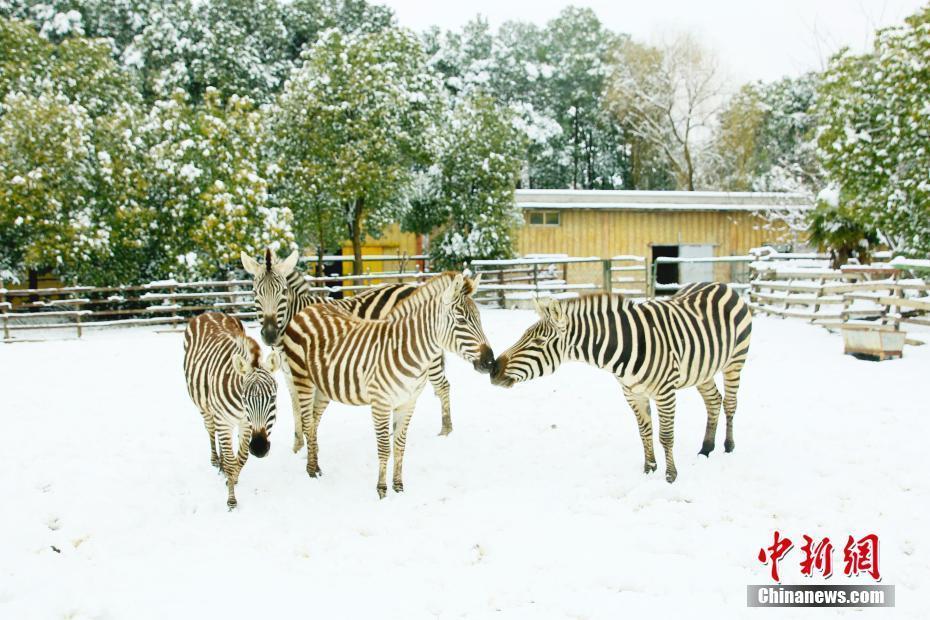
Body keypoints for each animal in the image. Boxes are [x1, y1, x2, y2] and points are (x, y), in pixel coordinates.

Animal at [183, 312, 280, 506]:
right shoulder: (224, 421)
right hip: (206, 409)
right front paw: (231, 500)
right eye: (244, 399)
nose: (259, 448)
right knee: (211, 431)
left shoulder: (246, 424)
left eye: (273, 398)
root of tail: (207, 313)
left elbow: (241, 458)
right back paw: (215, 460)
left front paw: (233, 479)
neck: (242, 409)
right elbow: (229, 461)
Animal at [239, 252, 456, 450]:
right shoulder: (289, 375)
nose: (269, 335)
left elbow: (309, 413)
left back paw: (446, 431)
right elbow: (296, 411)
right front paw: (297, 447)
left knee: (443, 386)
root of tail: (412, 286)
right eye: (254, 292)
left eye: (283, 292)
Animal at [490, 284, 752, 482]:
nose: (493, 368)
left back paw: (728, 446)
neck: (627, 346)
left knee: (730, 403)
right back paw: (706, 450)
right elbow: (644, 431)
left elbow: (666, 435)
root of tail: (722, 285)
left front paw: (670, 476)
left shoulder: (665, 392)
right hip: (703, 370)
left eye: (538, 342)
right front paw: (649, 469)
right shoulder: (632, 392)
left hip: (734, 362)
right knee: (714, 401)